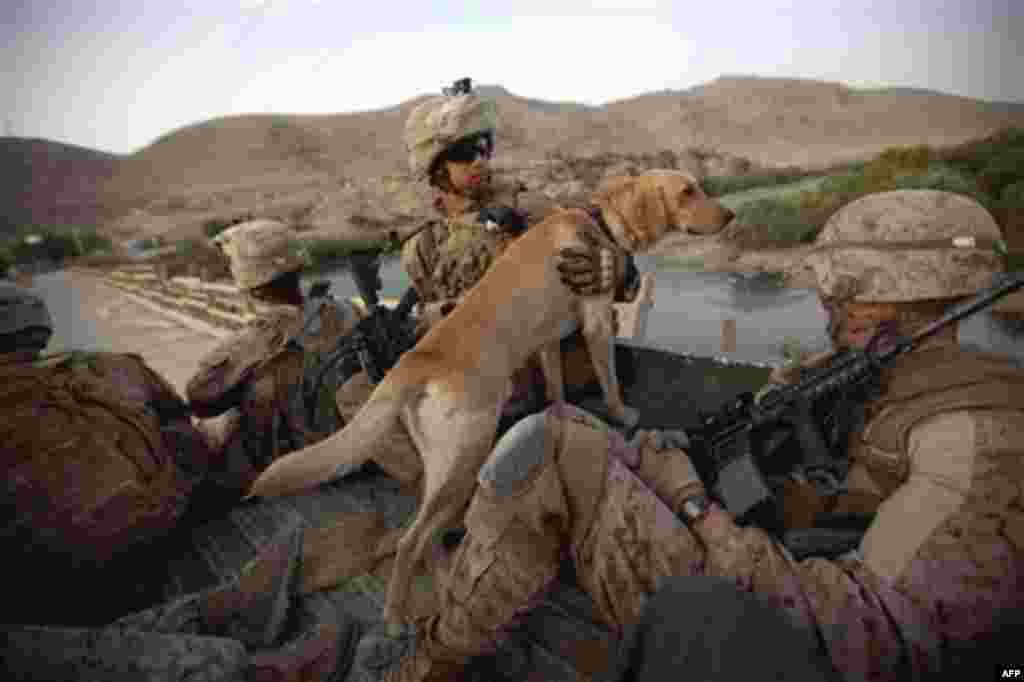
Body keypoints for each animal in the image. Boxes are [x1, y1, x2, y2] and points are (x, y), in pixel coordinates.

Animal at [250, 169, 733, 622]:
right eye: (688, 191)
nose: (729, 216)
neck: (599, 223)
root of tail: (417, 359)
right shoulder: (596, 324)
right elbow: (609, 378)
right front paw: (621, 412)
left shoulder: (547, 342)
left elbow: (556, 387)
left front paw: (562, 410)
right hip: (465, 458)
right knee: (410, 541)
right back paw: (395, 617)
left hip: (442, 467)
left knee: (425, 536)